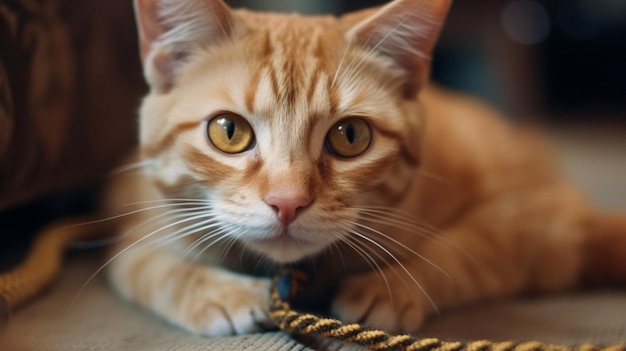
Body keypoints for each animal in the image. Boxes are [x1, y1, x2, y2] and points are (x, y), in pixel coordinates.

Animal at [103, 0, 624, 338]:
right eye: (228, 131)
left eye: (349, 136)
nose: (287, 202)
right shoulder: (137, 222)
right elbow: (151, 266)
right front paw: (221, 294)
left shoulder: (534, 220)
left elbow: (462, 249)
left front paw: (390, 288)